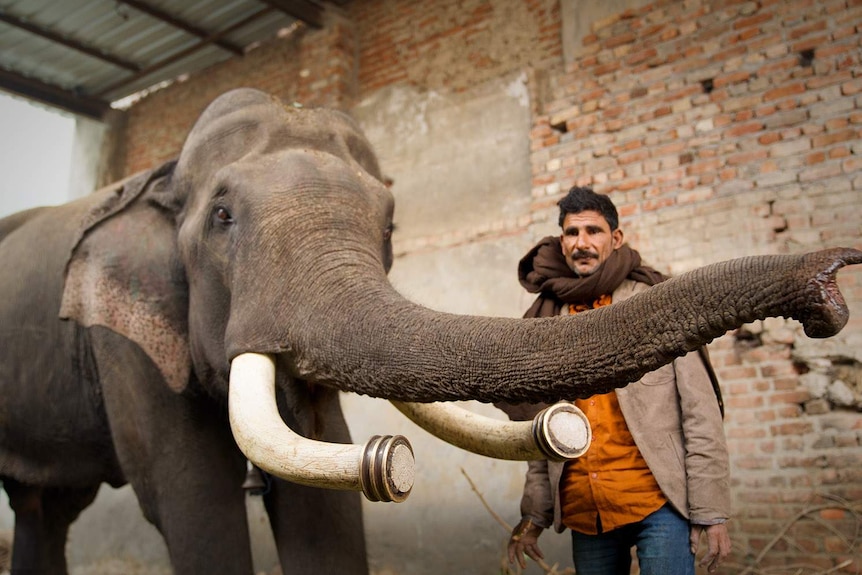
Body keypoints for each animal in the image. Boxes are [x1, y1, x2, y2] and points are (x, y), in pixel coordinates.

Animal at [1, 86, 862, 575]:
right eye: (221, 217)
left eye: (389, 223)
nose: (831, 290)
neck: (163, 174)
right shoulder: (126, 336)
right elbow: (195, 496)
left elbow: (320, 500)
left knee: (47, 511)